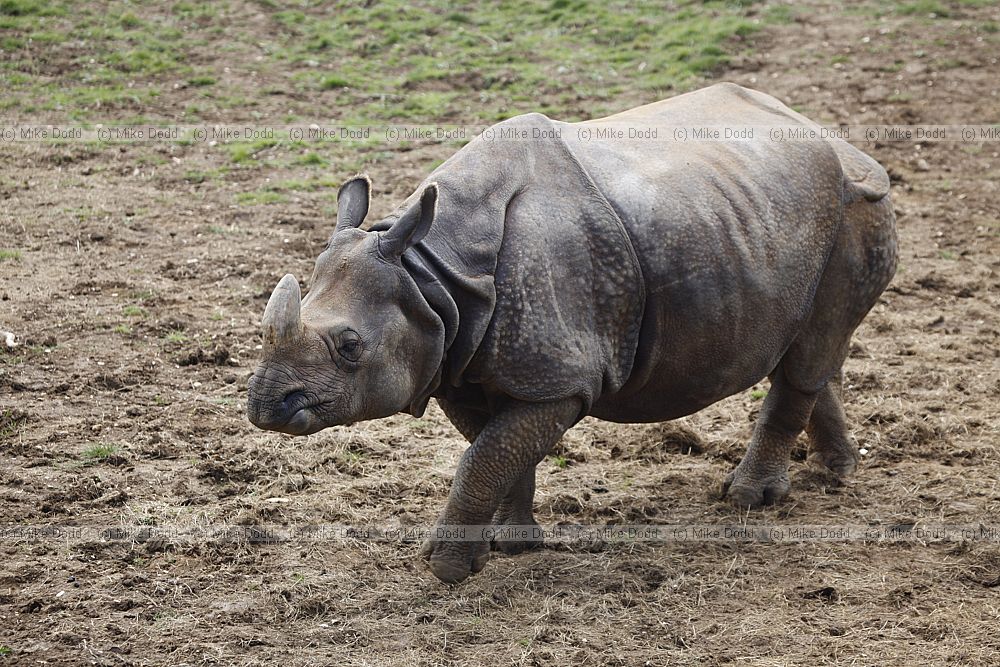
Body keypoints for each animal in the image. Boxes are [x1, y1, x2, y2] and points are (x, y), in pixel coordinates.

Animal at [247, 83, 897, 584]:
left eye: (350, 346)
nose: (265, 407)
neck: (432, 274)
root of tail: (840, 143)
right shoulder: (456, 360)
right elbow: (495, 449)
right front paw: (510, 546)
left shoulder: (559, 376)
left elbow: (486, 454)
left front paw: (446, 569)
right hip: (768, 214)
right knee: (808, 348)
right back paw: (835, 472)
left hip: (854, 210)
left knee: (810, 350)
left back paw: (747, 500)